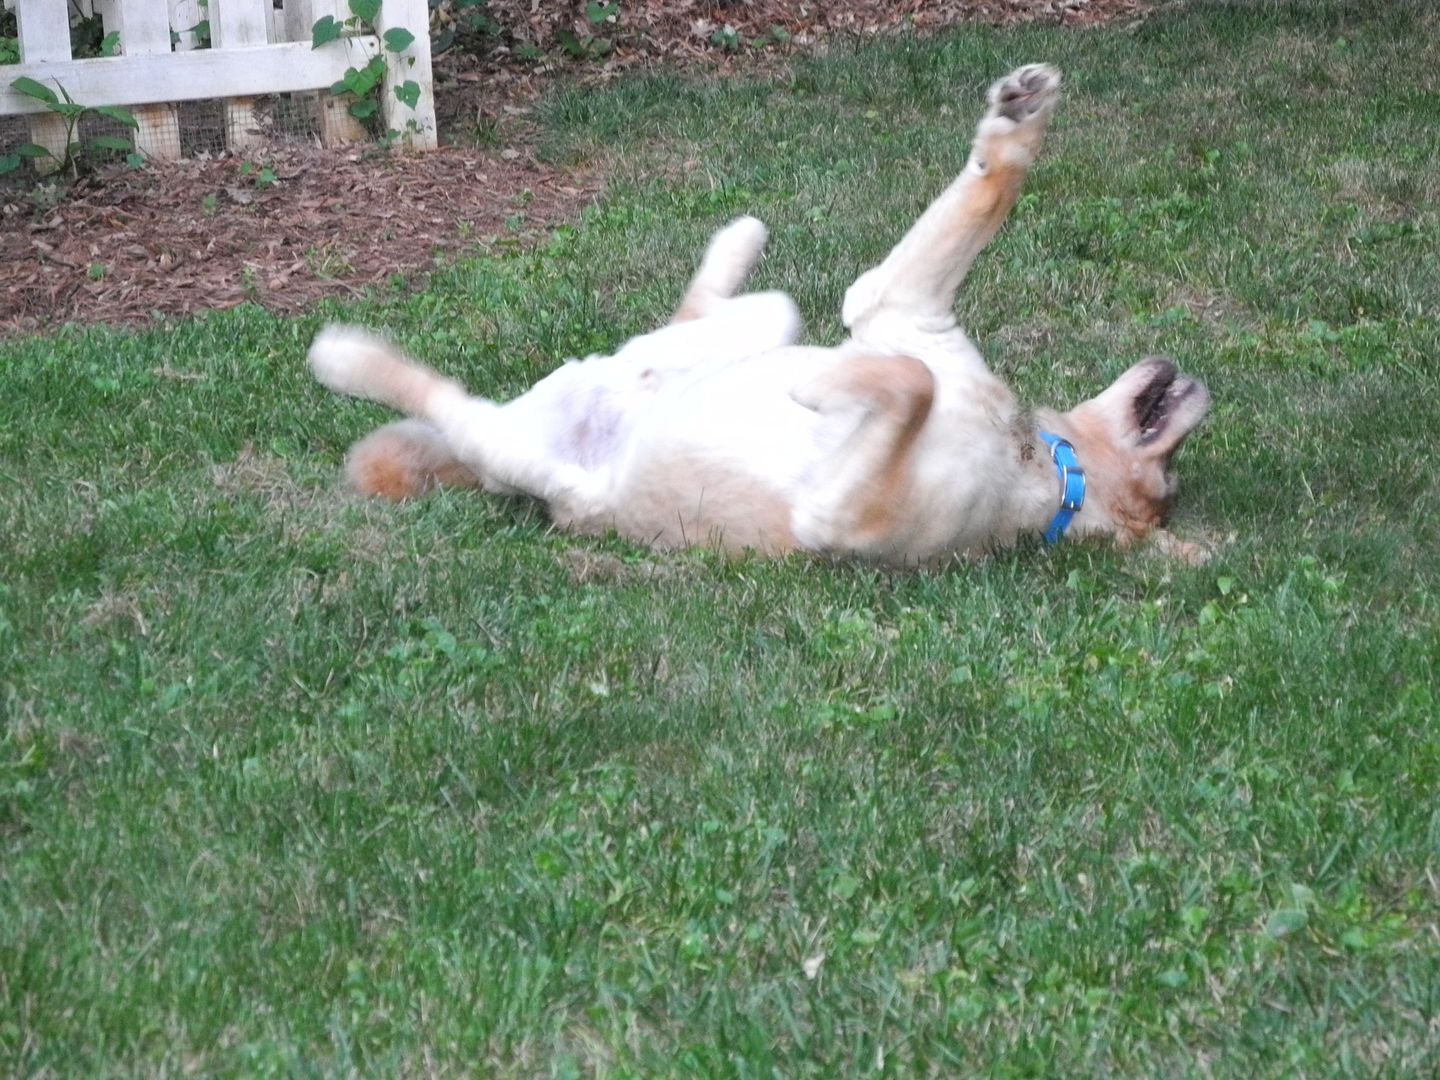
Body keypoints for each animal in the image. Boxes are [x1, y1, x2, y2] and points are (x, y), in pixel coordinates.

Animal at [309, 67, 1209, 570]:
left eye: (1166, 483)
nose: (1199, 384)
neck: (1040, 463)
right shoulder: (897, 305)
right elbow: (988, 194)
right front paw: (1020, 119)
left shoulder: (844, 513)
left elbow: (906, 382)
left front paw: (824, 386)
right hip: (750, 326)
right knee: (715, 311)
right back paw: (738, 244)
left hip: (517, 450)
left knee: (438, 399)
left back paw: (342, 353)